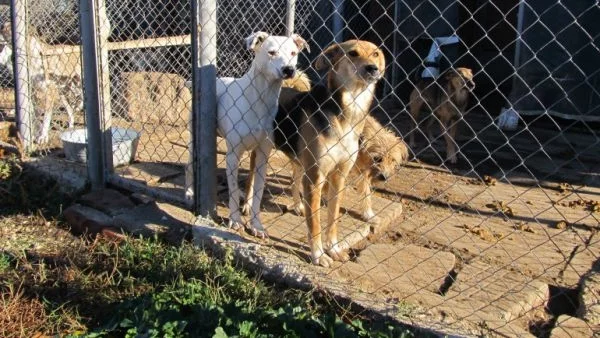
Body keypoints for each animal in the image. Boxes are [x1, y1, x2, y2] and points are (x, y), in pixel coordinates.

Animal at [186, 31, 310, 238]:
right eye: (271, 52)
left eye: (293, 53)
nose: (289, 70)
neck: (260, 98)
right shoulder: (233, 155)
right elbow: (233, 192)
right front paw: (235, 220)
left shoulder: (262, 156)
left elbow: (258, 193)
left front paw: (256, 225)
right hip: (194, 139)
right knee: (190, 167)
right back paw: (189, 194)